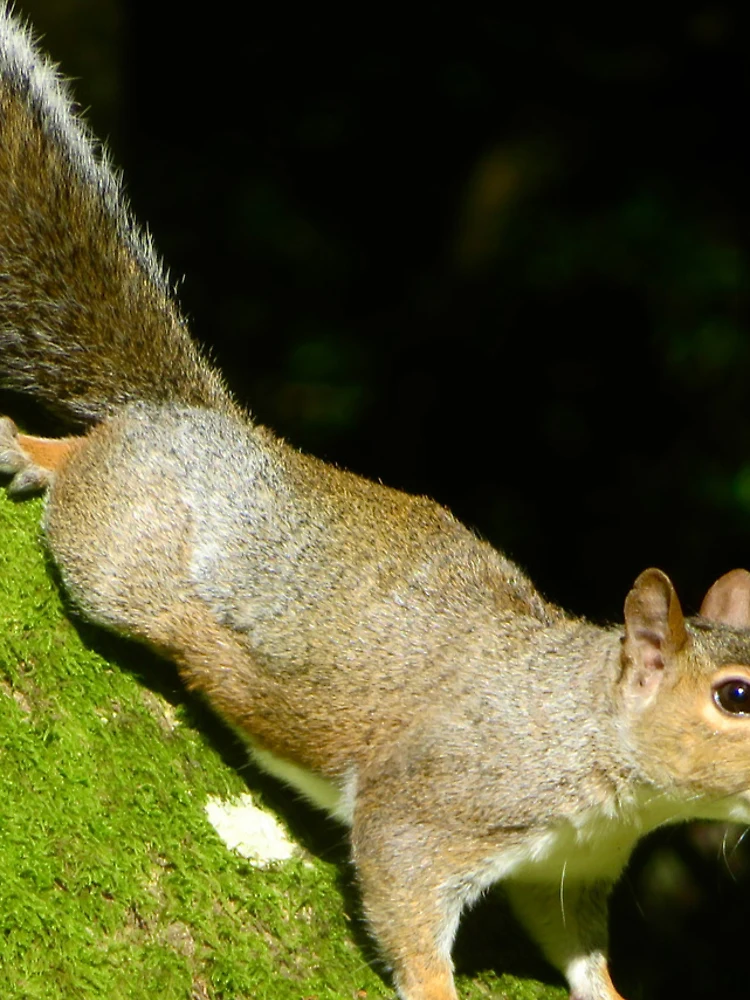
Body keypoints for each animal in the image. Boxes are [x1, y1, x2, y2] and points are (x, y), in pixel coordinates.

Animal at [3, 8, 750, 1000]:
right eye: (736, 697)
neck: (585, 727)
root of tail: (195, 418)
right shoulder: (436, 806)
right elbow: (401, 890)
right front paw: (435, 987)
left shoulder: (568, 871)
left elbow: (578, 951)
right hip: (119, 557)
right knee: (89, 476)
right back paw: (35, 453)